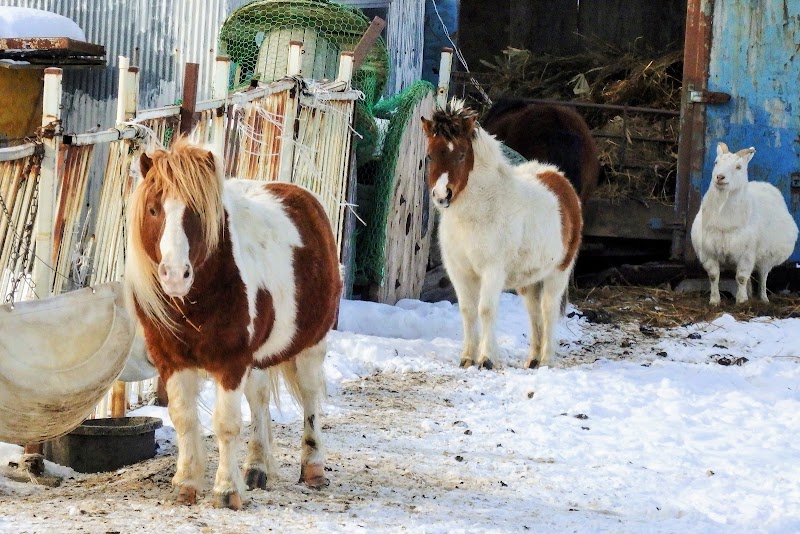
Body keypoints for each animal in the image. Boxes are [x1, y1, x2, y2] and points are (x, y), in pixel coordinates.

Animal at [125, 137, 340, 510]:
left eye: (197, 212)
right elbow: (185, 420)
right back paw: (256, 468)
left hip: (312, 346)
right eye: (153, 209)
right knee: (260, 400)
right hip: (258, 360)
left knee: (311, 398)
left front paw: (226, 491)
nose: (175, 275)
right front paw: (186, 485)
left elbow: (225, 425)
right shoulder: (173, 361)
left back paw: (313, 469)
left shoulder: (230, 362)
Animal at [422, 98, 584, 370]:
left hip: (558, 273)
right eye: (430, 155)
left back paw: (547, 360)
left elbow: (486, 310)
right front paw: (467, 358)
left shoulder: (492, 270)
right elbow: (468, 310)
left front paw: (486, 359)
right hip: (529, 280)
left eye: (462, 154)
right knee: (533, 312)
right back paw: (533, 360)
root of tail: (559, 180)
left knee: (548, 310)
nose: (442, 195)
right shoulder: (459, 272)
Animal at [692, 143, 796, 306]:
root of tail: (762, 184)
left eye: (738, 167)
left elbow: (741, 278)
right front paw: (715, 301)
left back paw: (763, 299)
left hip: (765, 258)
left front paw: (741, 302)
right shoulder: (708, 252)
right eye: (716, 162)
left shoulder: (747, 253)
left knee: (762, 276)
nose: (719, 177)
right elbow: (714, 276)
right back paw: (749, 294)